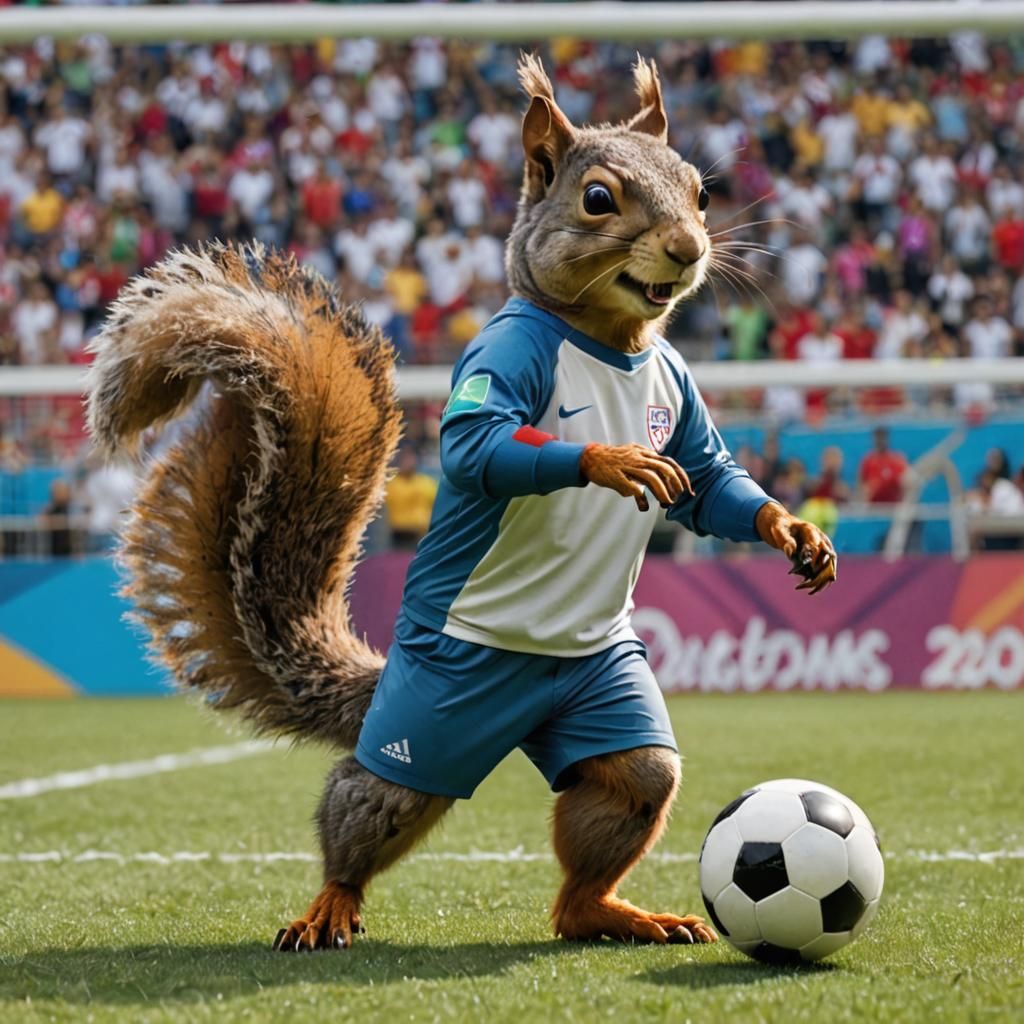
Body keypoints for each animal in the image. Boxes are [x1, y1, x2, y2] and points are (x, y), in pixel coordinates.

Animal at [87, 55, 836, 952]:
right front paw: (610, 460)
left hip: (600, 703)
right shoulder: (500, 359)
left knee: (629, 786)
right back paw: (329, 904)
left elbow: (711, 474)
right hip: (426, 731)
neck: (613, 343)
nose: (689, 249)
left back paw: (610, 911)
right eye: (598, 198)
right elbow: (480, 446)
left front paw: (791, 530)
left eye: (702, 192)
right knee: (366, 802)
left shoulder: (680, 390)